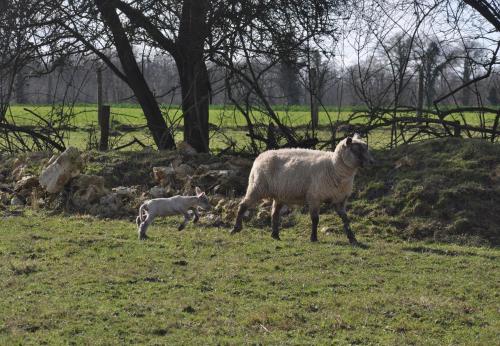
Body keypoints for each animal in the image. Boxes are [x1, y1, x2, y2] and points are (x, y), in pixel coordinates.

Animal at [232, 134, 374, 245]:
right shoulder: (314, 197)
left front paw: (352, 239)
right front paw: (313, 238)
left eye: (366, 148)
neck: (334, 167)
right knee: (243, 205)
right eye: (356, 150)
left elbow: (346, 219)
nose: (372, 162)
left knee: (275, 213)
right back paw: (236, 228)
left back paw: (275, 235)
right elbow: (315, 219)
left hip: (279, 194)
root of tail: (261, 155)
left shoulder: (339, 200)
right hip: (257, 187)